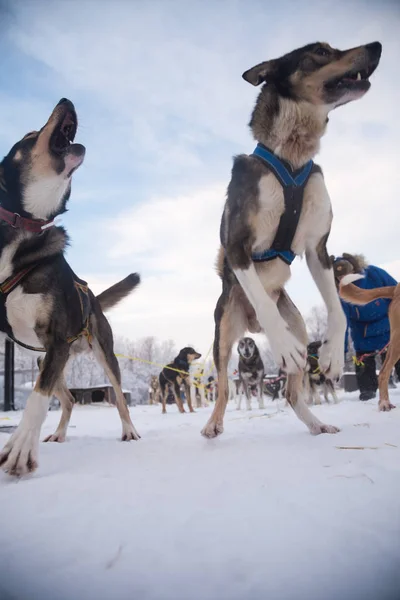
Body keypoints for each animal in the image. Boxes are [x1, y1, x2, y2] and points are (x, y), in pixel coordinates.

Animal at [202, 39, 382, 438]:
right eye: (321, 51)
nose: (377, 46)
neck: (292, 156)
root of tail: (248, 327)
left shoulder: (318, 249)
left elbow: (337, 309)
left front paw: (331, 354)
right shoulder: (237, 247)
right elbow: (264, 303)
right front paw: (281, 344)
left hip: (298, 327)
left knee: (292, 391)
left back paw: (316, 423)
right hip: (223, 336)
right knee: (223, 388)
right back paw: (213, 424)